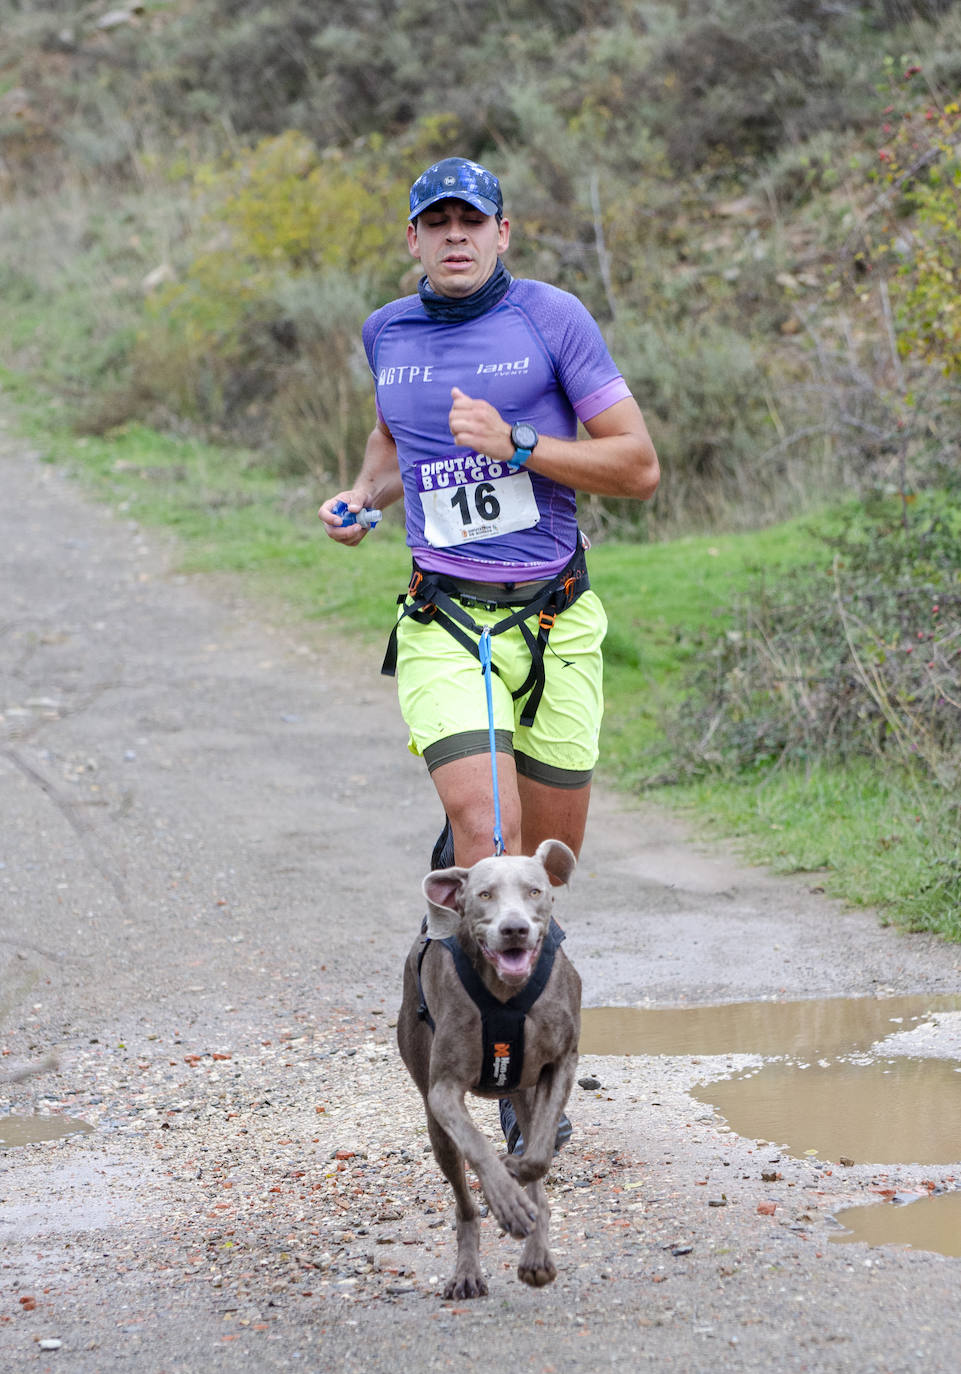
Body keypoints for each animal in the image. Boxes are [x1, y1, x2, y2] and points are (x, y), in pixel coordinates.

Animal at [395, 835, 580, 1297]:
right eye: (484, 895)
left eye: (534, 890)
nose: (514, 929)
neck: (505, 994)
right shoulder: (444, 1090)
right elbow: (477, 1146)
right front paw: (505, 1199)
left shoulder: (562, 1063)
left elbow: (537, 1158)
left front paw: (515, 1175)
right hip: (434, 1119)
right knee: (463, 1203)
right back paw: (467, 1271)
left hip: (527, 1093)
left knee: (537, 1169)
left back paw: (536, 1255)